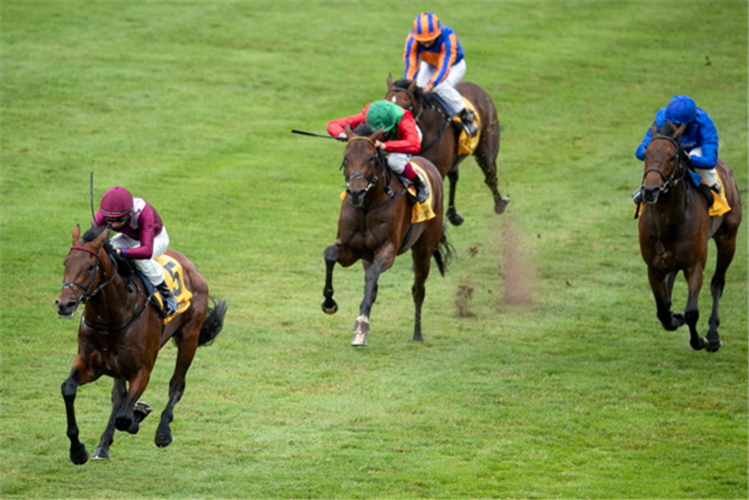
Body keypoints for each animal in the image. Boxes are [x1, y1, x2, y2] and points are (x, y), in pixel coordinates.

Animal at [55, 225, 226, 462]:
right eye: (66, 262)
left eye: (90, 267)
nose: (64, 304)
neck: (110, 317)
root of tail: (190, 266)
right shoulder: (91, 364)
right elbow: (69, 388)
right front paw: (78, 450)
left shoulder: (142, 370)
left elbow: (125, 418)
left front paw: (139, 414)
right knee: (119, 397)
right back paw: (103, 445)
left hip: (189, 337)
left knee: (177, 384)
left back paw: (163, 432)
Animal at [320, 123, 452, 346]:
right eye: (346, 157)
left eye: (371, 158)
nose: (355, 192)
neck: (368, 205)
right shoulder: (352, 249)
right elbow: (330, 254)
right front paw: (329, 303)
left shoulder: (388, 249)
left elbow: (373, 275)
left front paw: (362, 322)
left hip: (424, 248)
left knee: (418, 289)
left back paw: (417, 334)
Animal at [386, 73, 508, 225]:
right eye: (385, 103)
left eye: (407, 107)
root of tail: (478, 88)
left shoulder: (438, 168)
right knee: (455, 177)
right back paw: (453, 215)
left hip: (486, 148)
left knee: (490, 175)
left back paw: (500, 204)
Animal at [636, 123, 744, 354]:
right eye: (647, 154)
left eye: (671, 157)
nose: (650, 190)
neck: (666, 223)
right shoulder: (653, 267)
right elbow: (663, 312)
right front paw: (674, 317)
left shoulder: (695, 265)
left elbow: (692, 311)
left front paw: (701, 340)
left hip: (728, 238)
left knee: (717, 283)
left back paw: (712, 334)